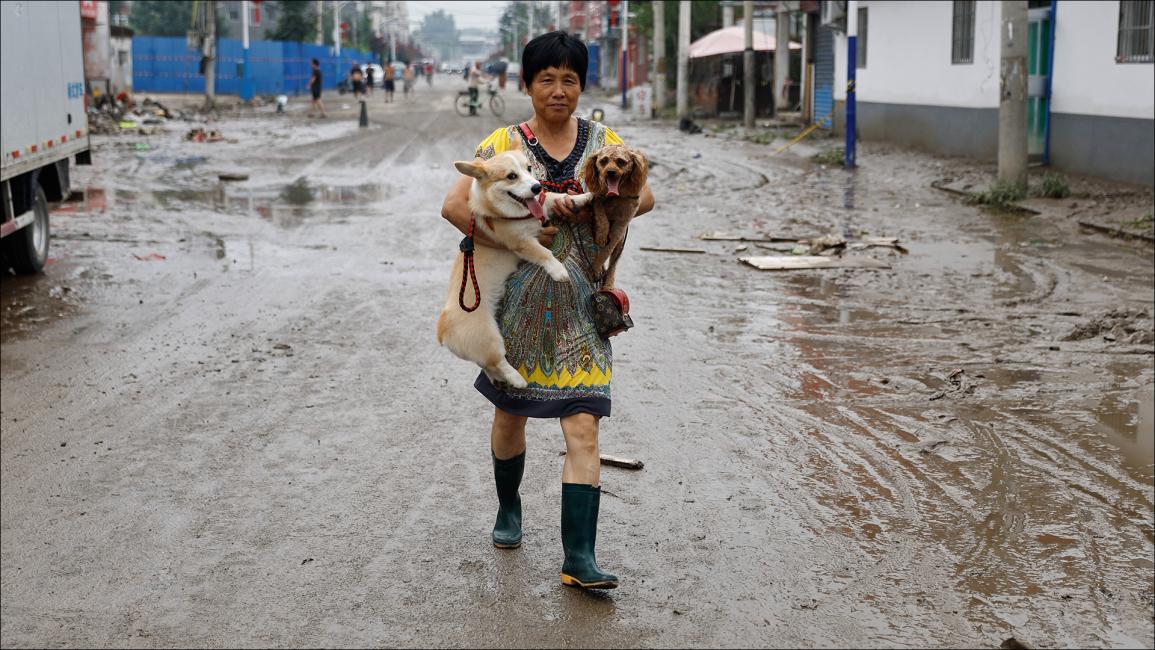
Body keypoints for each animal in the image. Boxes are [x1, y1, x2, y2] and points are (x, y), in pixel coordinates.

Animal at [434, 142, 591, 385]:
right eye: (511, 176)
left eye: (529, 168)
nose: (536, 187)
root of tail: (442, 330)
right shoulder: (521, 243)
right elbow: (544, 253)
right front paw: (559, 271)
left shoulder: (543, 205)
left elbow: (558, 197)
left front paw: (584, 197)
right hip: (488, 339)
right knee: (496, 362)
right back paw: (517, 379)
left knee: (487, 365)